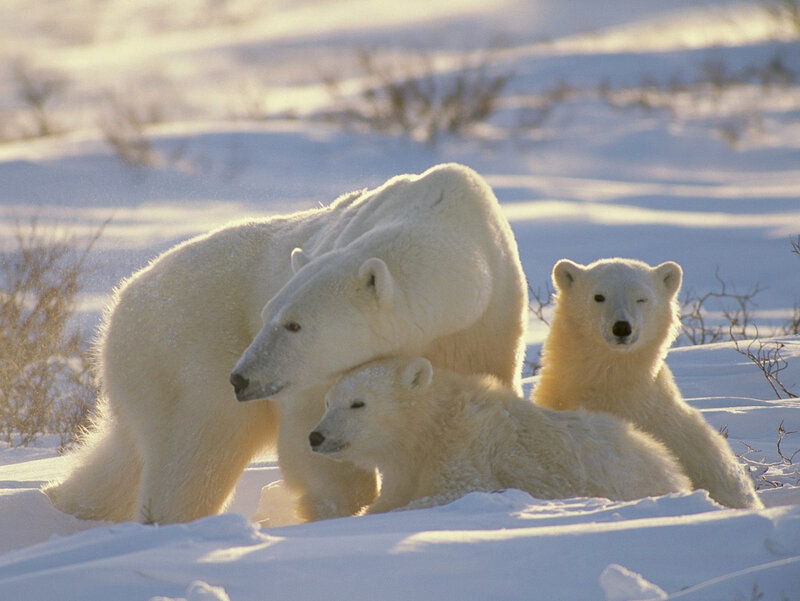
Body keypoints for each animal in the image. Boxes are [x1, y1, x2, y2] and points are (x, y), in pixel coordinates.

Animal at [45, 163, 528, 524]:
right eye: (268, 315)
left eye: (293, 325)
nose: (241, 378)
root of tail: (121, 300)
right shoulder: (314, 375)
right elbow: (312, 432)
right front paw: (339, 506)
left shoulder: (487, 324)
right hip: (186, 350)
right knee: (198, 449)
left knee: (124, 454)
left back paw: (64, 502)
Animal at [309, 356, 692, 514]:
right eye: (327, 401)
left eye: (358, 403)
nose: (316, 436)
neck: (433, 425)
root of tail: (671, 466)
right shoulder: (405, 466)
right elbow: (390, 496)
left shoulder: (467, 449)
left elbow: (455, 491)